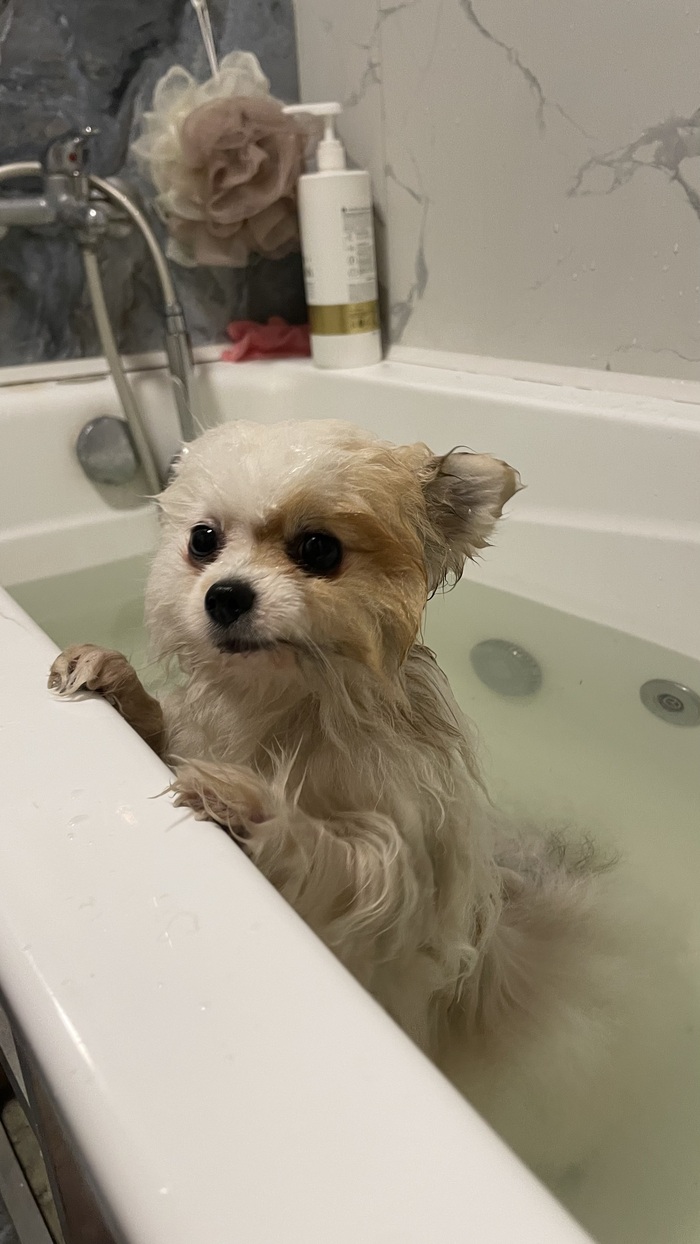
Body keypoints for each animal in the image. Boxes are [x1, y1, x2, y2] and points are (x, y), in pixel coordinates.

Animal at [49, 419, 642, 1176]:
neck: (283, 703)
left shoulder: (400, 865)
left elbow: (347, 864)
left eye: (318, 550)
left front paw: (258, 809)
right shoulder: (198, 733)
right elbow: (164, 730)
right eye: (203, 540)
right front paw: (118, 680)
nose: (224, 594)